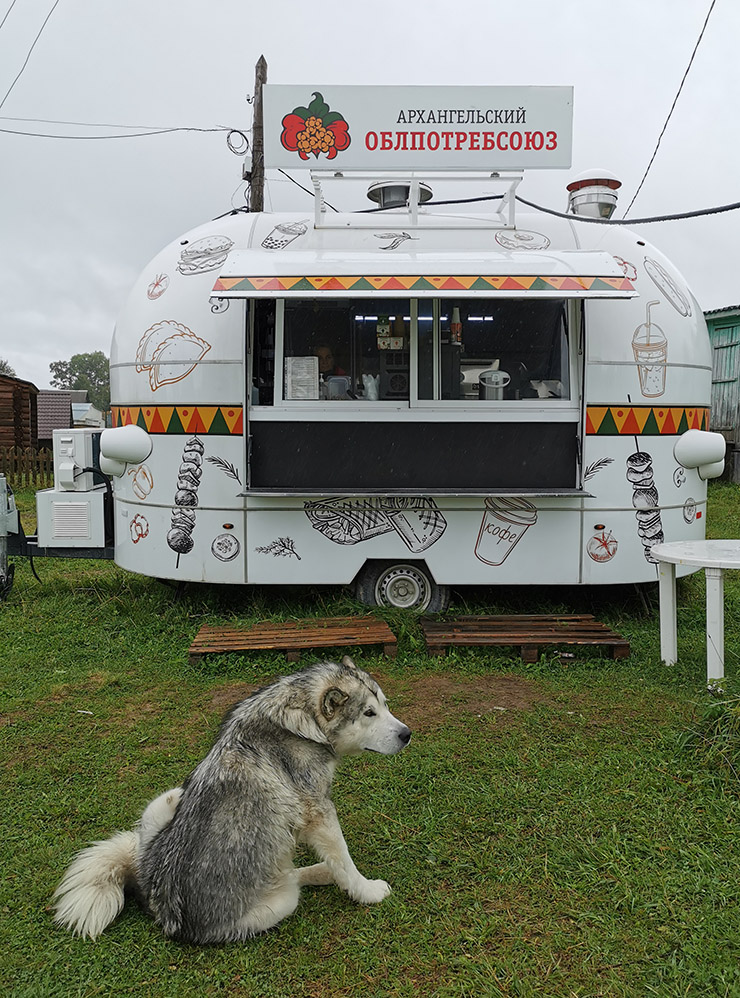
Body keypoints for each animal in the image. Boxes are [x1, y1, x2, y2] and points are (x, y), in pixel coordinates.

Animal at [53, 656, 410, 944]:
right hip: (283, 899)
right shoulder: (320, 813)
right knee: (290, 880)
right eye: (369, 713)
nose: (407, 734)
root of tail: (154, 899)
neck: (301, 720)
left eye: (385, 705)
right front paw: (367, 891)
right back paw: (320, 872)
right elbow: (346, 863)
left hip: (165, 802)